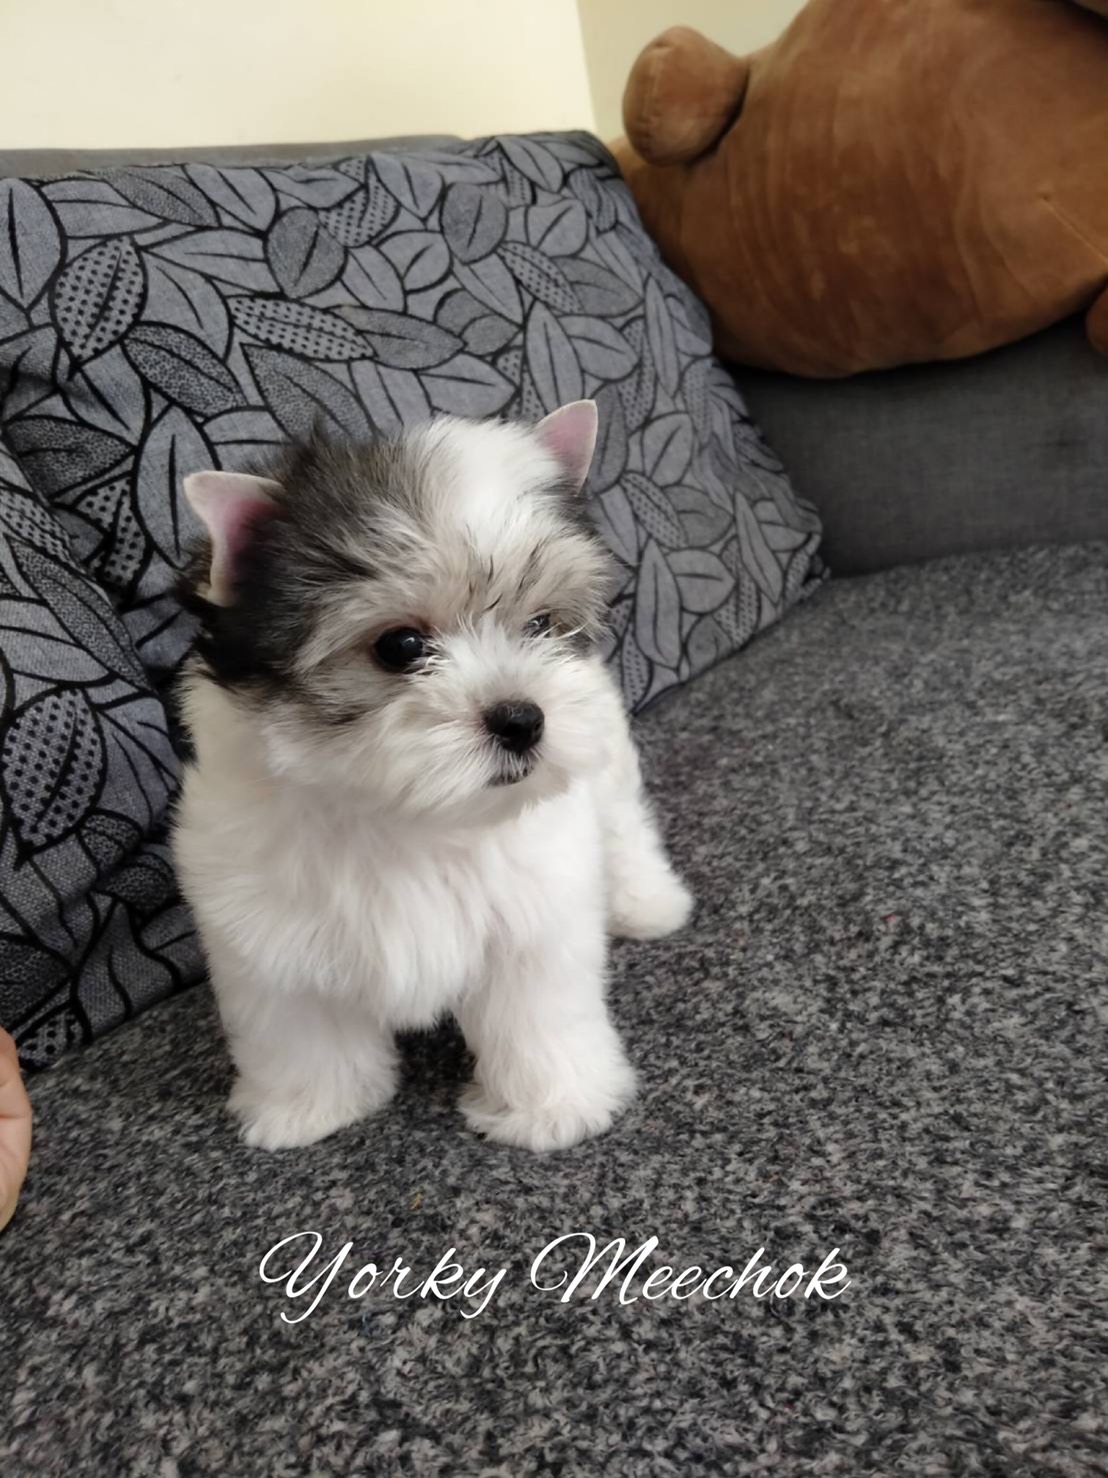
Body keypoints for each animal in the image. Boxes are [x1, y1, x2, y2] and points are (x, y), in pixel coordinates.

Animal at [173, 401, 692, 1153]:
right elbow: (301, 1028)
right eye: (400, 646)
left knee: (624, 831)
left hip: (606, 764)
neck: (411, 819)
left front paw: (552, 1106)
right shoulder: (269, 935)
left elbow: (537, 1013)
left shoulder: (534, 914)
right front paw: (309, 1107)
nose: (522, 718)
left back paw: (649, 905)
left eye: (541, 624)